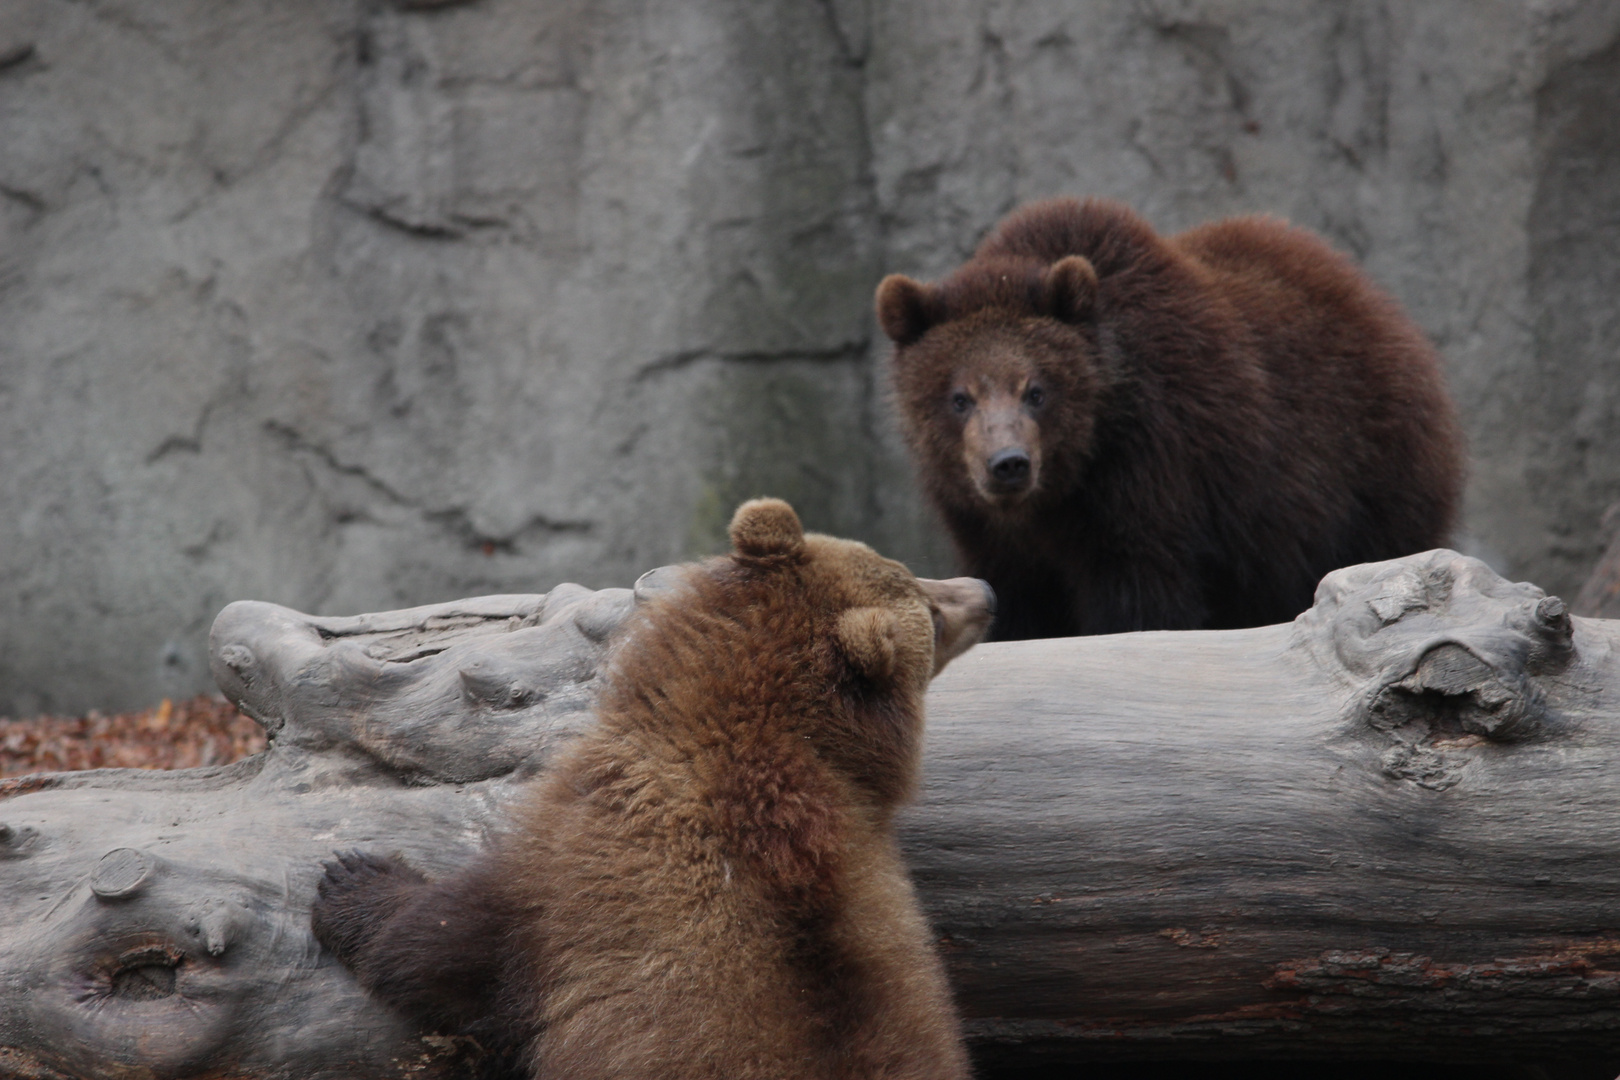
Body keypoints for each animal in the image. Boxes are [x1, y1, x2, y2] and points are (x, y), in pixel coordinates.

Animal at [874, 197, 1470, 637]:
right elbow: (1017, 604)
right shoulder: (991, 535)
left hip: (1364, 476)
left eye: (1037, 390)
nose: (1009, 464)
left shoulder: (1152, 471)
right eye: (960, 396)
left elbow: (1143, 602)